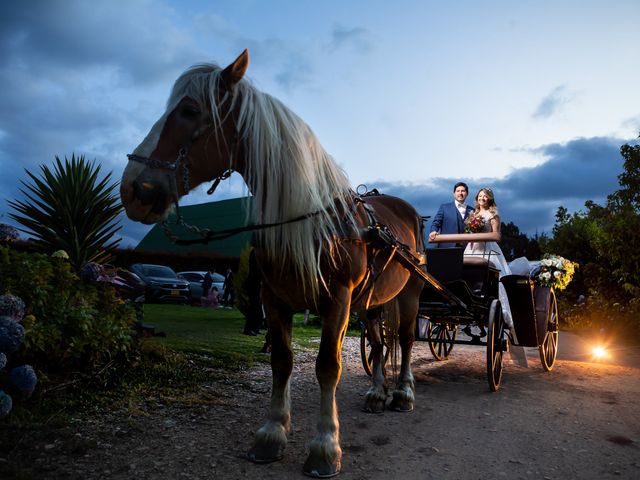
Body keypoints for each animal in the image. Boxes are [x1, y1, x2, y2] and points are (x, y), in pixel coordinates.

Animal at [121, 48, 424, 476]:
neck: (311, 222)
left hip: (410, 293)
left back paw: (403, 393)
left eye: (190, 110)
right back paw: (377, 393)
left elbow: (327, 366)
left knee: (408, 339)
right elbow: (281, 361)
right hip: (373, 303)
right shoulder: (275, 299)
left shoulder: (338, 300)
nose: (132, 188)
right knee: (380, 345)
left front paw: (325, 446)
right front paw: (272, 432)